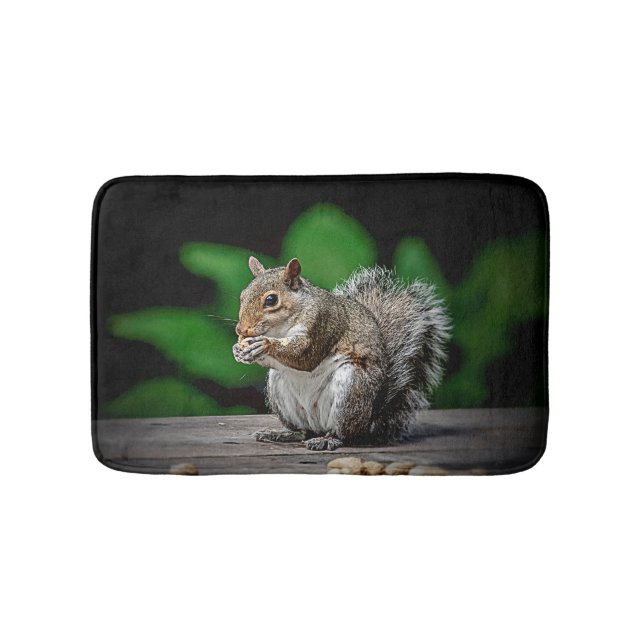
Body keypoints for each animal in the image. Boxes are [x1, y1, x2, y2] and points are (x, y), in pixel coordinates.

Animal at [232, 256, 451, 451]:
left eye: (271, 299)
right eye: (242, 295)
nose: (241, 330)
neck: (280, 329)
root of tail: (370, 421)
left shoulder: (323, 323)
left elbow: (304, 357)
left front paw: (264, 344)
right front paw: (239, 351)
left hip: (351, 389)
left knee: (344, 434)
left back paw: (328, 440)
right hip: (280, 388)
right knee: (304, 431)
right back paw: (282, 434)